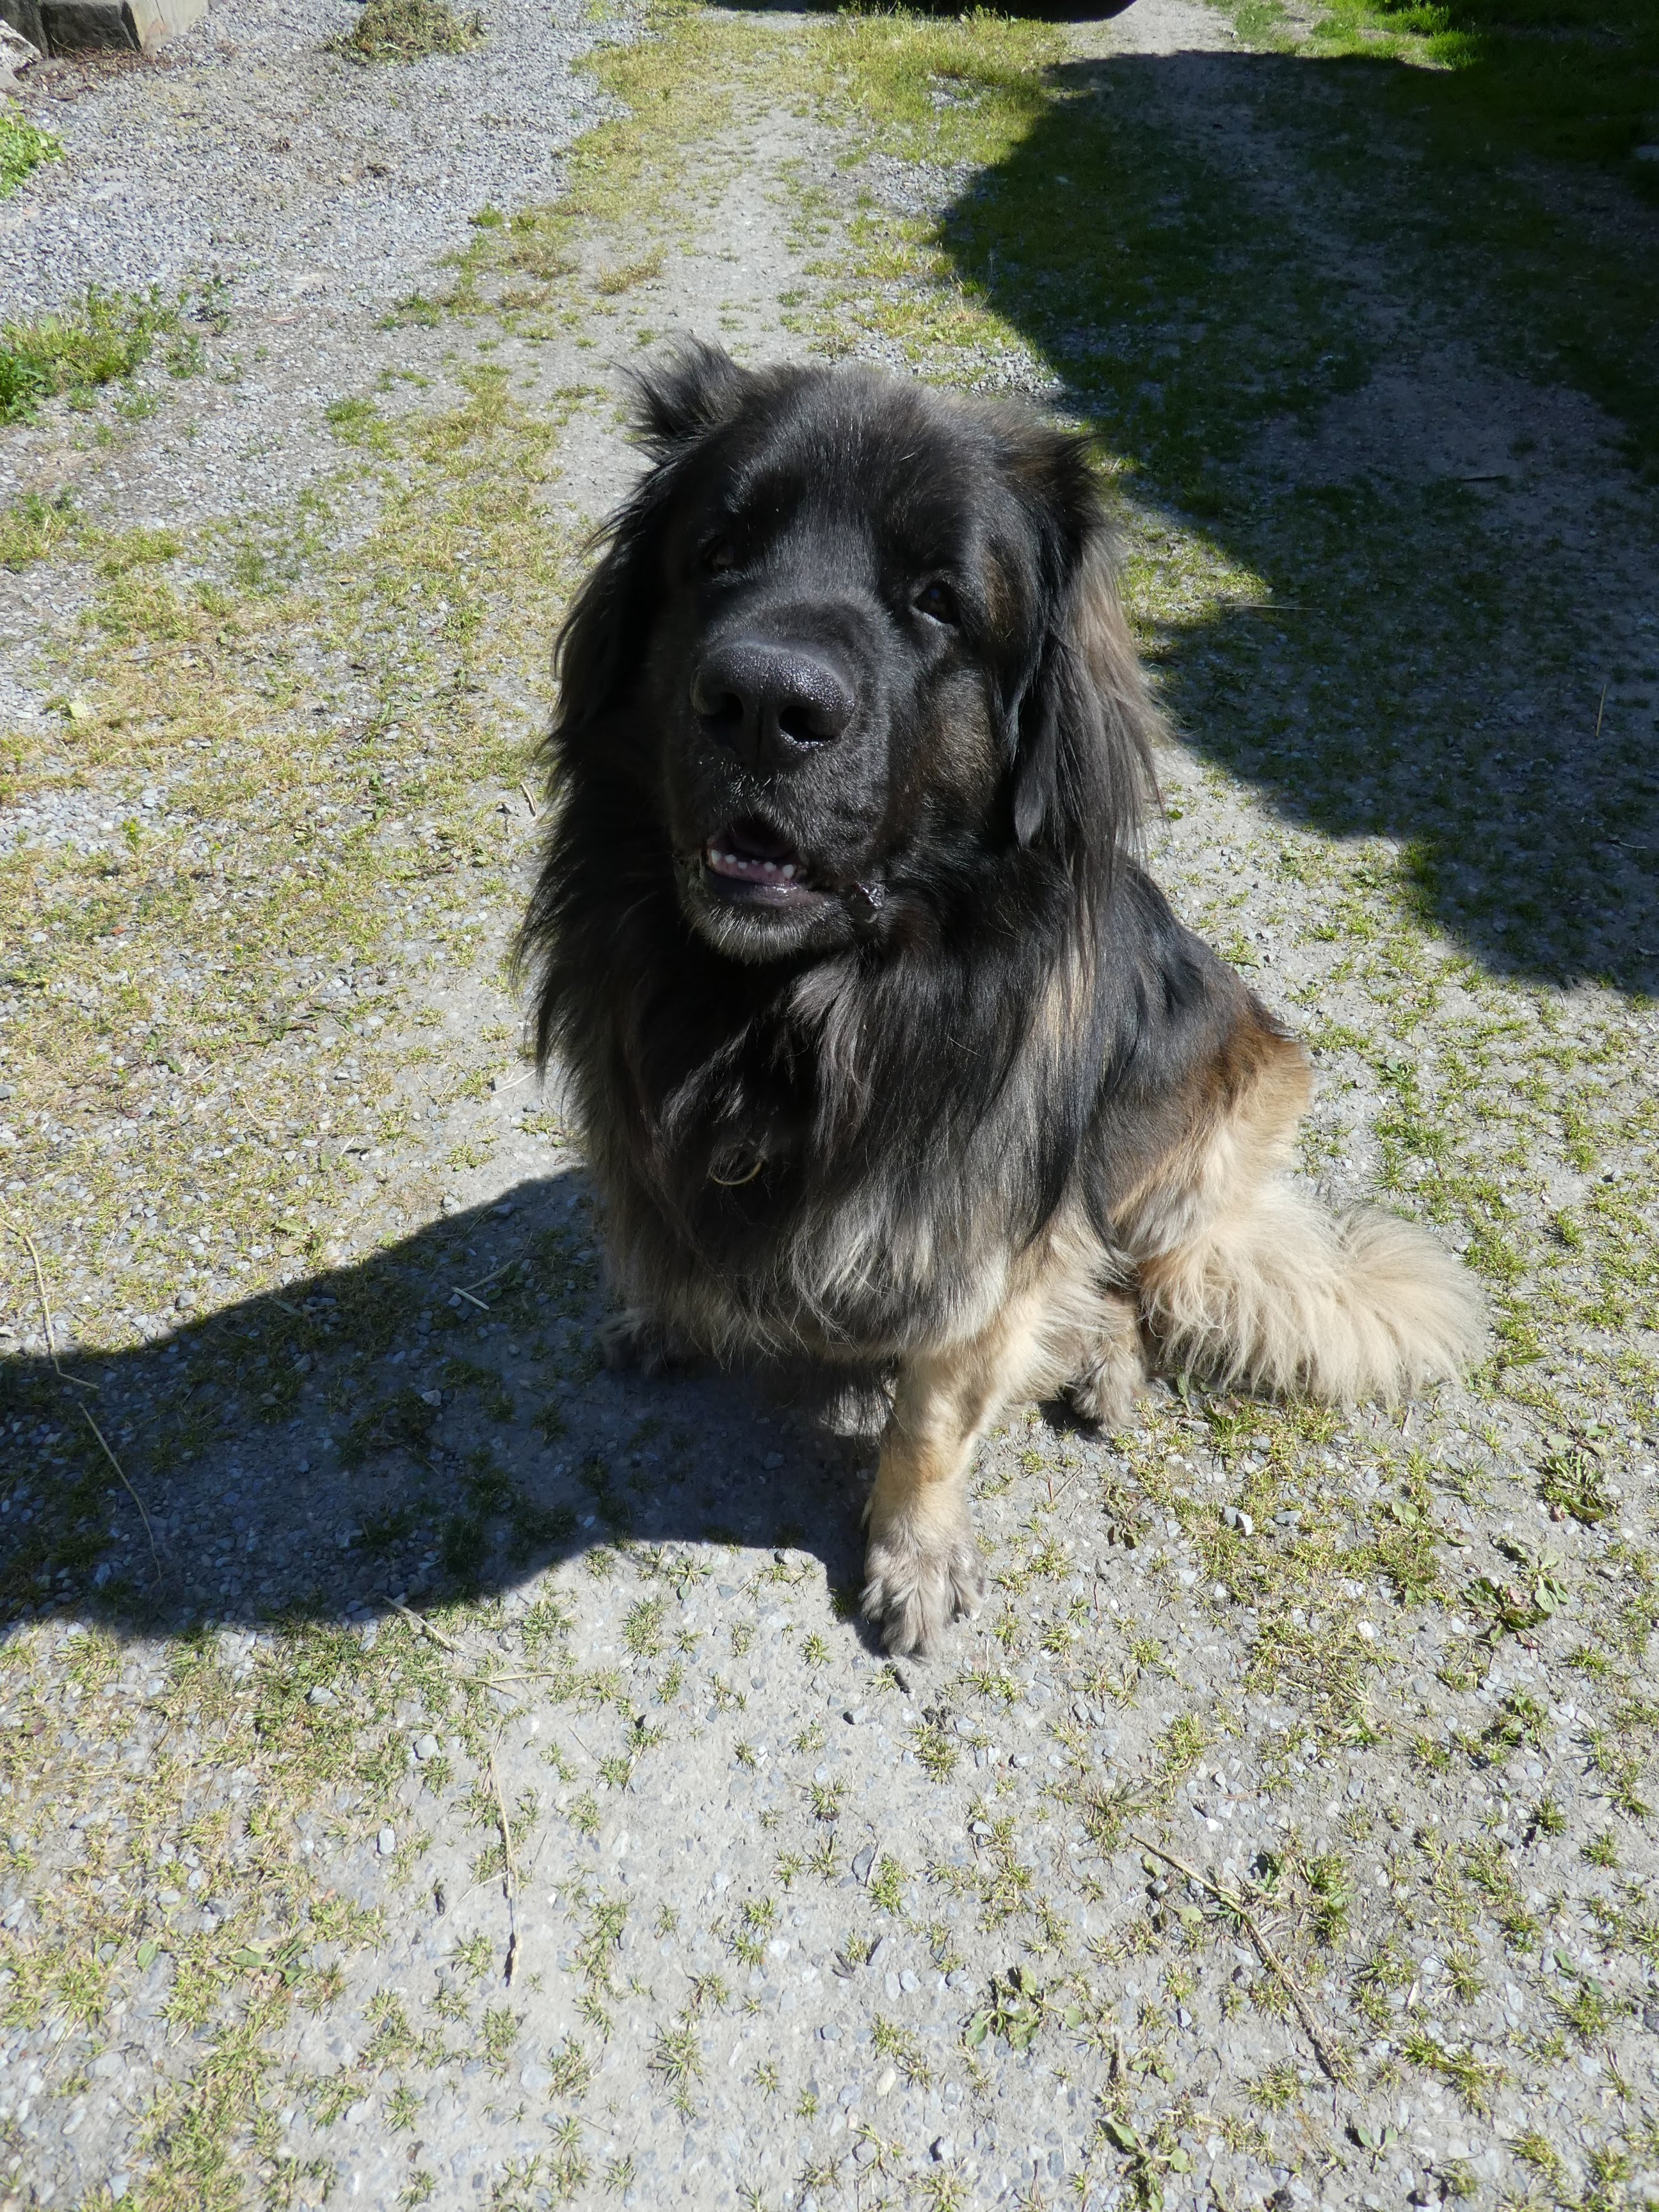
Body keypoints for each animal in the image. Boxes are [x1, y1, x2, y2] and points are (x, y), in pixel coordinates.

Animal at [516, 341, 1484, 1656]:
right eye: (717, 553)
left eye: (938, 601)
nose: (762, 702)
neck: (795, 1010)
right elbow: (662, 1227)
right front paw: (664, 1312)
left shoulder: (986, 1245)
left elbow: (932, 1418)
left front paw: (914, 1557)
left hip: (1185, 1133)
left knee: (1129, 1277)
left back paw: (1106, 1363)